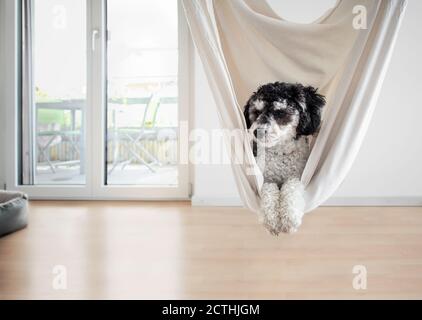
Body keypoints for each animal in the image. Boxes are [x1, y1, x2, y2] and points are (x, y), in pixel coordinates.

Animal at [242, 81, 324, 234]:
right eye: (257, 112)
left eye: (280, 112)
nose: (257, 131)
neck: (281, 154)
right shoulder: (265, 178)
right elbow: (269, 190)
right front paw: (271, 219)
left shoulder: (298, 176)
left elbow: (291, 187)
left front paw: (290, 217)